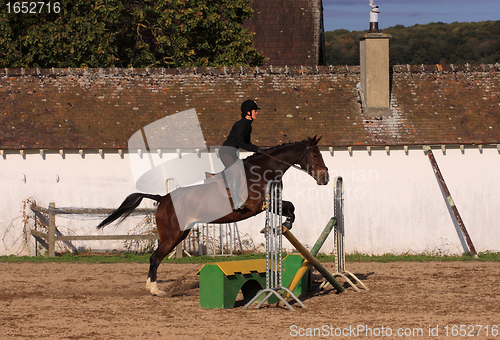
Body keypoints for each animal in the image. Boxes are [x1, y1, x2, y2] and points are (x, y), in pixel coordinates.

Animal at [97, 135, 332, 294]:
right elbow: (289, 207)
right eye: (314, 154)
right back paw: (155, 289)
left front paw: (280, 227)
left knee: (156, 257)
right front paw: (282, 225)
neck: (264, 169)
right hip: (172, 235)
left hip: (181, 234)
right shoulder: (261, 205)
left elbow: (291, 208)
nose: (325, 178)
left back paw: (149, 286)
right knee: (155, 258)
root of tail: (162, 198)